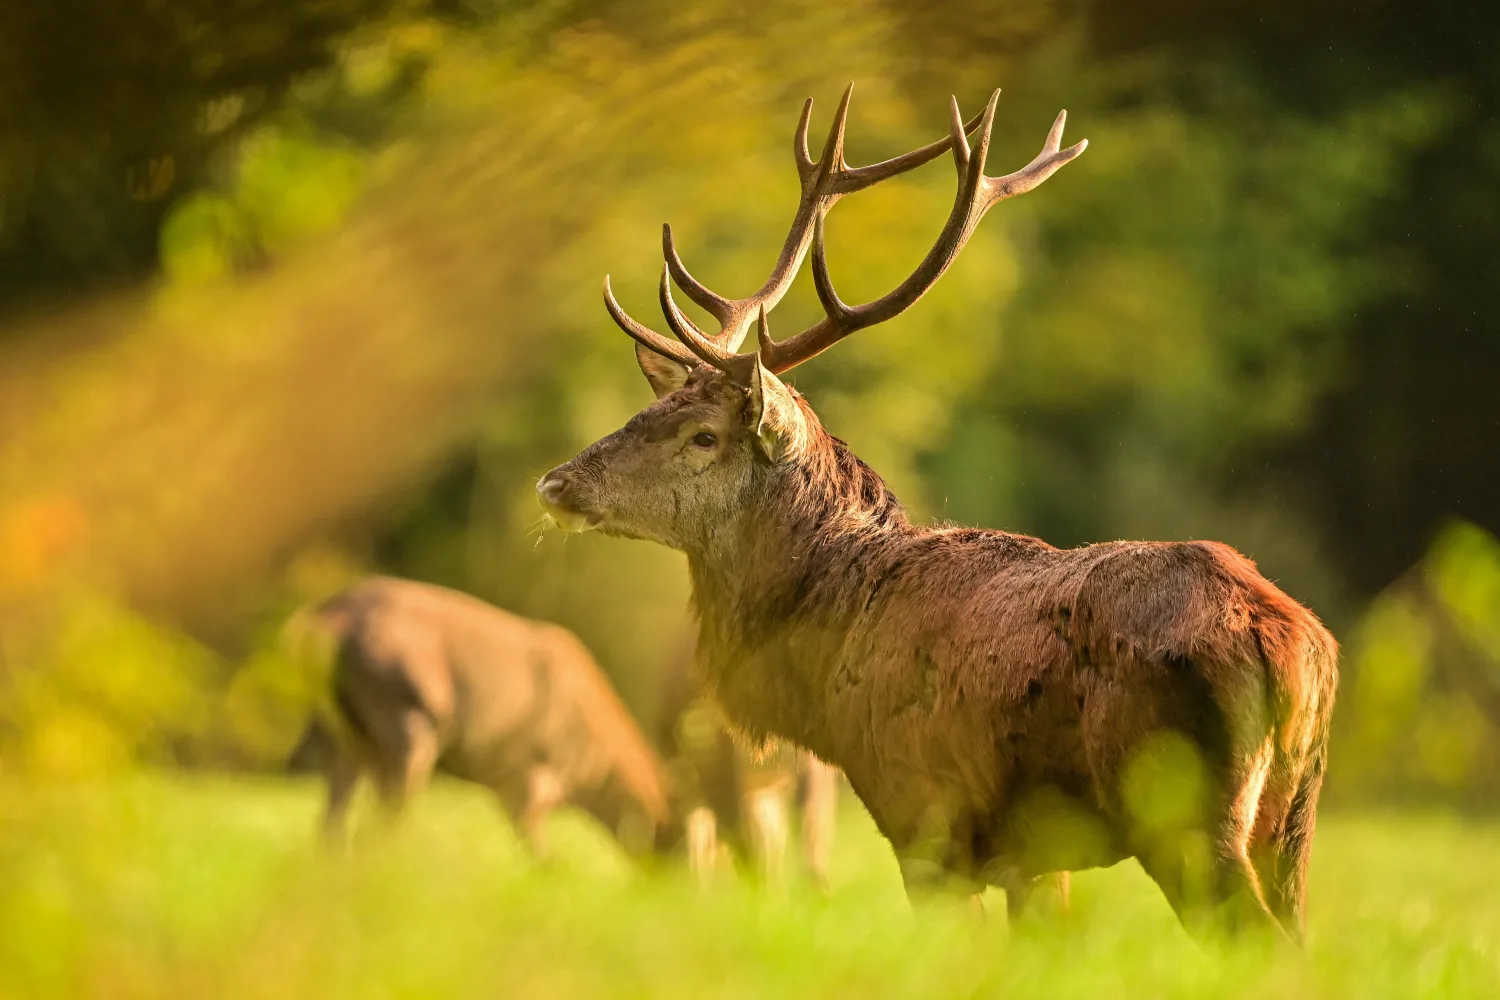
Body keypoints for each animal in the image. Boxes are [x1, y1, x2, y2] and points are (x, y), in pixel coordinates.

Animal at [285, 576, 672, 860]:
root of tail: (320, 622)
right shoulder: (532, 778)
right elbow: (539, 853)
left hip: (346, 733)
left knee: (335, 822)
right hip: (407, 722)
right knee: (387, 818)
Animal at [535, 85, 1338, 940]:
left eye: (703, 434)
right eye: (655, 407)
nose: (555, 483)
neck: (828, 657)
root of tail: (1293, 647)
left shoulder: (923, 813)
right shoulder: (1031, 855)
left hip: (1181, 809)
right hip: (1292, 823)